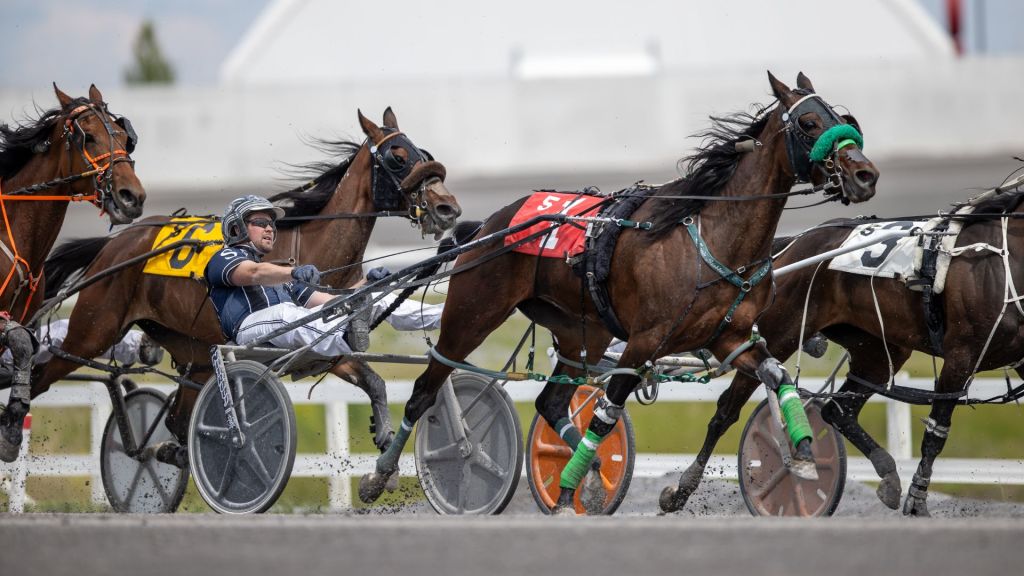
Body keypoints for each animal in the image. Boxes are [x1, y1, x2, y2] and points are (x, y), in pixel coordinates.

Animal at [0, 85, 146, 459]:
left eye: (124, 137)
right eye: (88, 137)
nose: (132, 197)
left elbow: (24, 347)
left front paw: (12, 422)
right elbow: (22, 345)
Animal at [20, 106, 460, 461]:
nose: (448, 207)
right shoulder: (300, 339)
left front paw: (383, 431)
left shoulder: (323, 348)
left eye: (423, 154)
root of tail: (115, 244)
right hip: (93, 331)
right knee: (43, 376)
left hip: (194, 353)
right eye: (397, 157)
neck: (312, 246)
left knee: (180, 419)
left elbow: (373, 378)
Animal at [358, 72, 880, 510]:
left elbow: (773, 377)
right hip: (471, 315)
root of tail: (488, 225)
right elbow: (608, 413)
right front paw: (571, 490)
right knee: (425, 390)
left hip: (579, 333)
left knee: (550, 403)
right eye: (810, 123)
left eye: (846, 118)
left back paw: (587, 472)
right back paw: (380, 475)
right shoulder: (644, 341)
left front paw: (802, 452)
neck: (711, 235)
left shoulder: (729, 338)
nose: (865, 174)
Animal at [659, 187, 1024, 516]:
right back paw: (681, 490)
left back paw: (887, 473)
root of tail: (793, 244)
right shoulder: (962, 355)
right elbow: (936, 433)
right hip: (779, 335)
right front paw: (917, 503)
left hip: (879, 348)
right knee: (726, 410)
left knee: (838, 409)